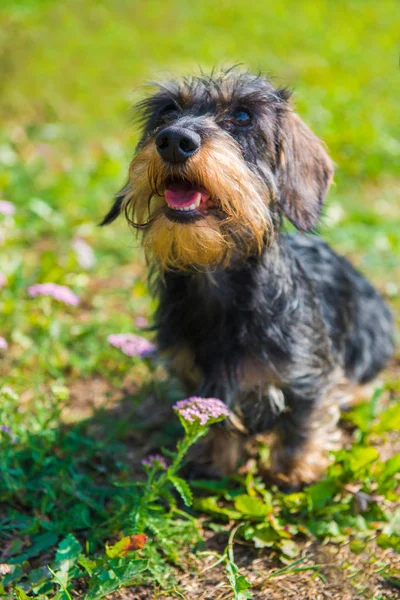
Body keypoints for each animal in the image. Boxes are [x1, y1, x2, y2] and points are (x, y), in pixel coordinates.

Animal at [102, 68, 394, 488]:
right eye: (167, 111)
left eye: (243, 116)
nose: (174, 140)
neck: (217, 283)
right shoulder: (201, 381)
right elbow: (218, 425)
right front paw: (215, 462)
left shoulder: (307, 376)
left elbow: (302, 423)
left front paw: (294, 471)